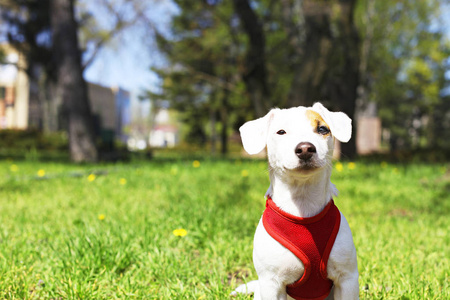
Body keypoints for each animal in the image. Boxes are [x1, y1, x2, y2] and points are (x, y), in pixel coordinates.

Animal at [236, 103, 358, 300]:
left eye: (322, 129)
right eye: (281, 132)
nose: (305, 148)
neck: (303, 201)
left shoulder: (347, 278)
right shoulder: (272, 283)